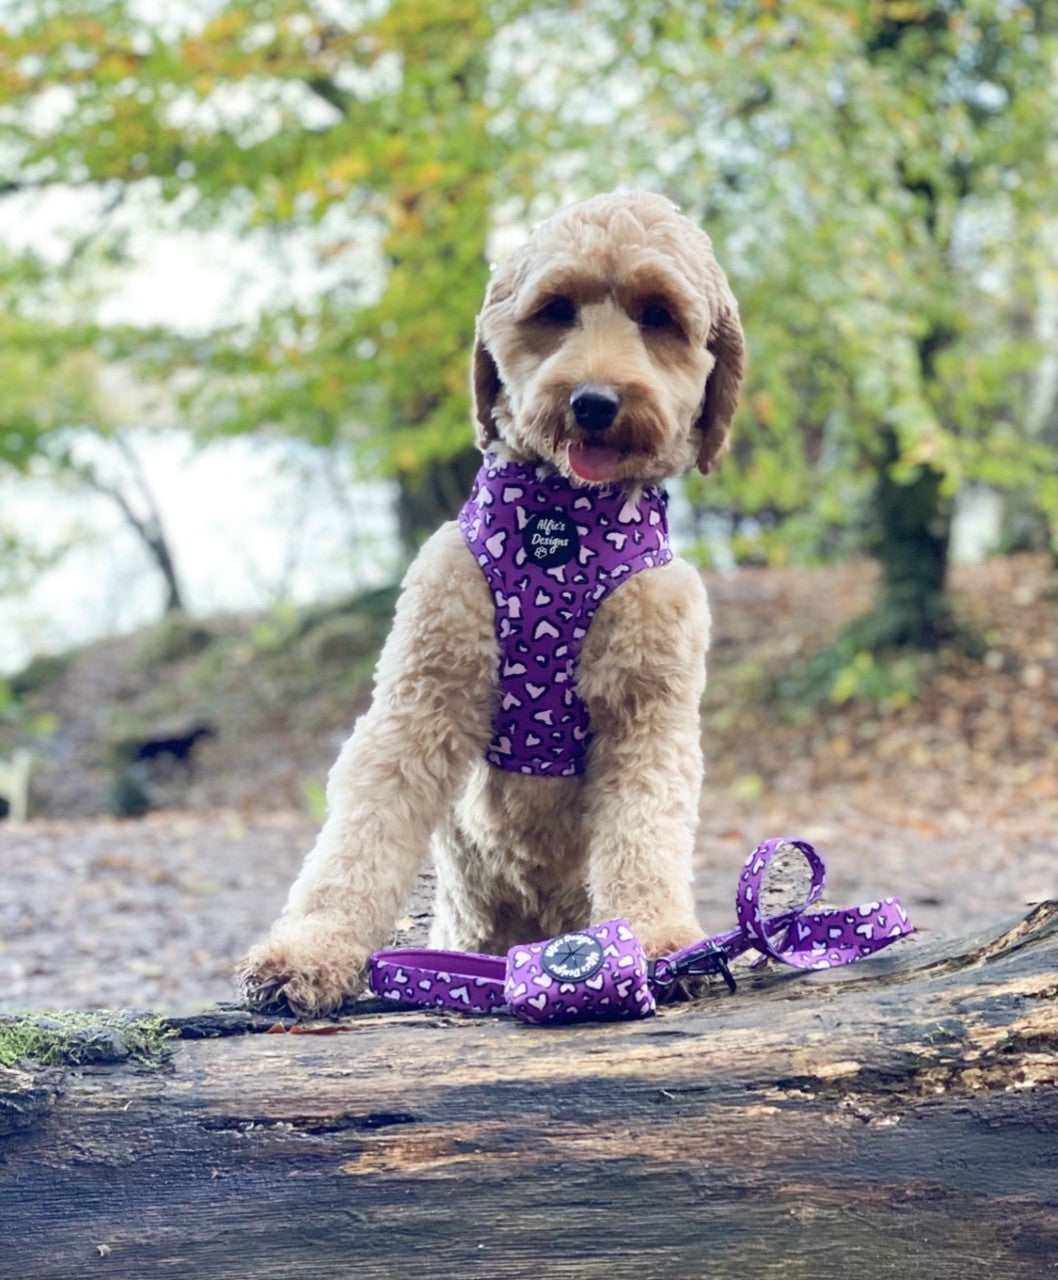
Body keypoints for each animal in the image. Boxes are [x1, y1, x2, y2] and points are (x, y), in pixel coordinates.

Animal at [240, 189, 747, 1013]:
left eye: (659, 316)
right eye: (556, 308)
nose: (595, 402)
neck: (561, 526)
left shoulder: (650, 714)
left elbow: (644, 834)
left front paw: (661, 939)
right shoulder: (420, 697)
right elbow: (358, 840)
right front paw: (311, 950)